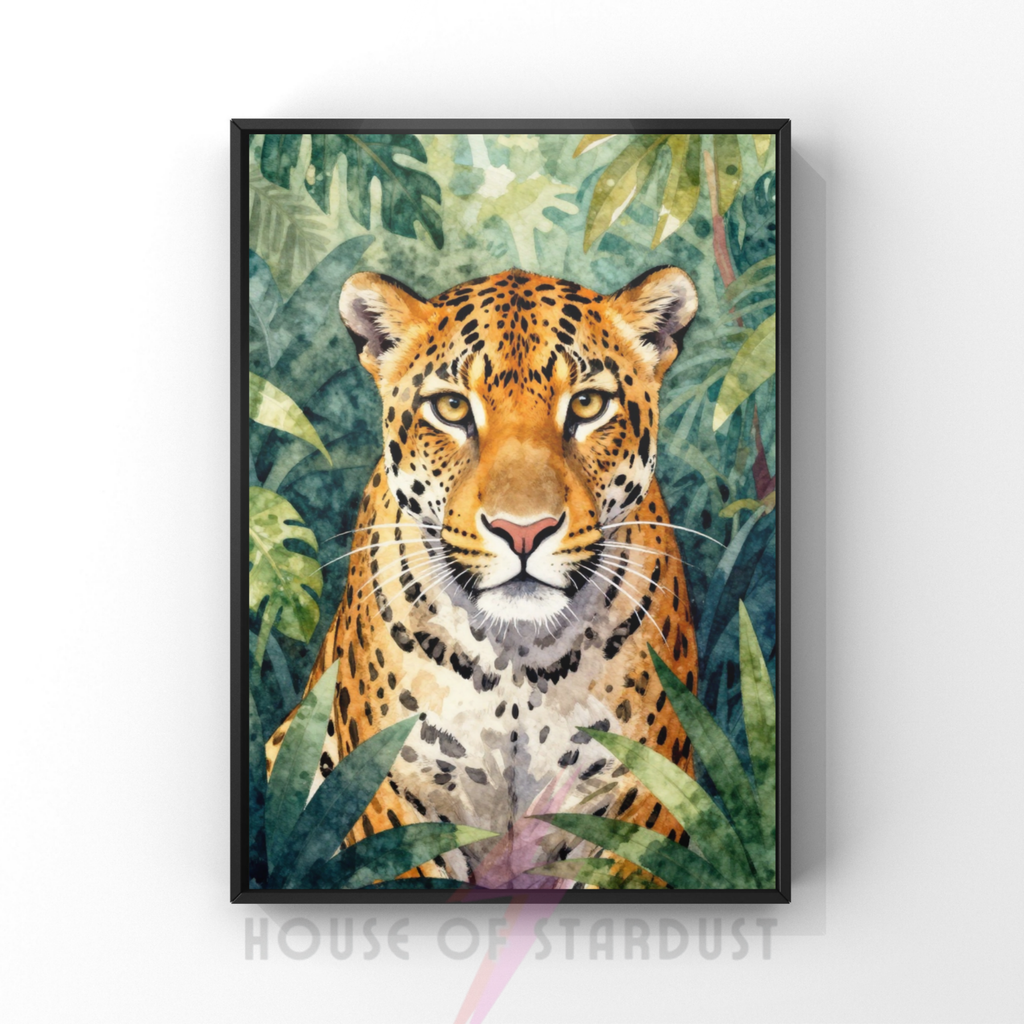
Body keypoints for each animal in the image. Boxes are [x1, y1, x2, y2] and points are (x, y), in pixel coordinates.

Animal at [266, 265, 702, 888]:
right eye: (451, 408)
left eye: (588, 404)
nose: (523, 530)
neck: (517, 659)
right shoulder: (388, 796)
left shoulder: (641, 797)